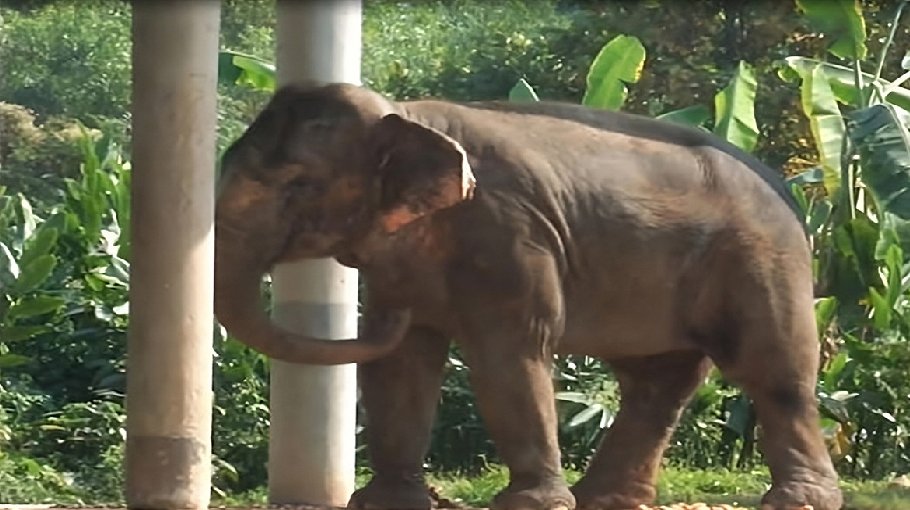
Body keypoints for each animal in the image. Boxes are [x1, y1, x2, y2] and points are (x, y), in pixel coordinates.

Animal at [213, 82, 843, 510]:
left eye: (298, 184)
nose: (387, 309)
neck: (406, 115)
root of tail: (784, 185)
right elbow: (404, 363)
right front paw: (386, 503)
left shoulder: (510, 230)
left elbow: (508, 353)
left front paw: (529, 504)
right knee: (656, 378)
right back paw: (604, 498)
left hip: (762, 259)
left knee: (772, 371)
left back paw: (797, 500)